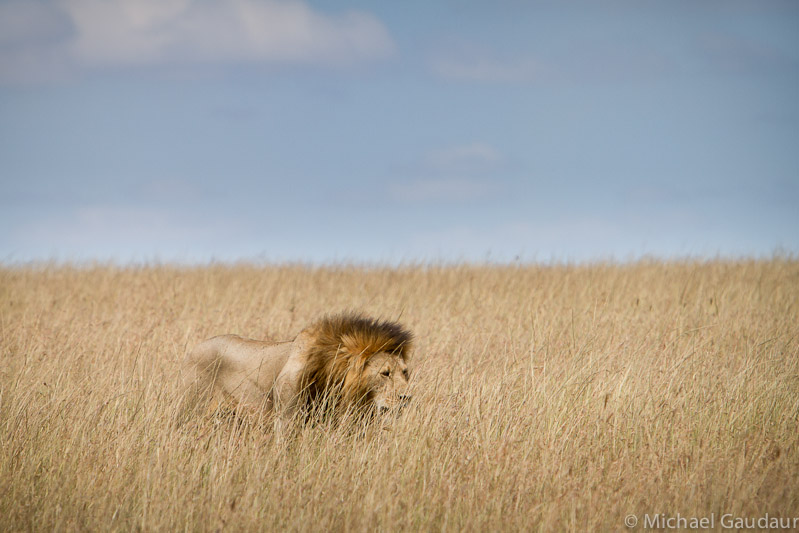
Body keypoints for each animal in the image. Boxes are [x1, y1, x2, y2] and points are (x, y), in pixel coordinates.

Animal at [184, 312, 416, 428]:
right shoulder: (285, 419)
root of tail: (193, 349)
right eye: (385, 373)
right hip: (195, 407)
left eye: (405, 372)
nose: (406, 397)